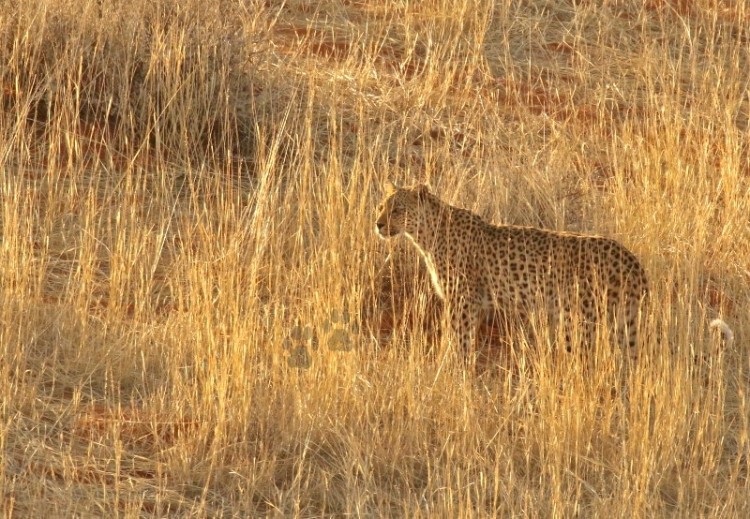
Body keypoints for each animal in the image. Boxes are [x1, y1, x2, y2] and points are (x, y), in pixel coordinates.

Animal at [376, 181, 652, 360]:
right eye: (381, 207)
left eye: (397, 209)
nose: (377, 224)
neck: (426, 236)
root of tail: (631, 259)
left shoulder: (463, 301)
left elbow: (459, 339)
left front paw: (452, 369)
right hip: (617, 323)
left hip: (582, 321)